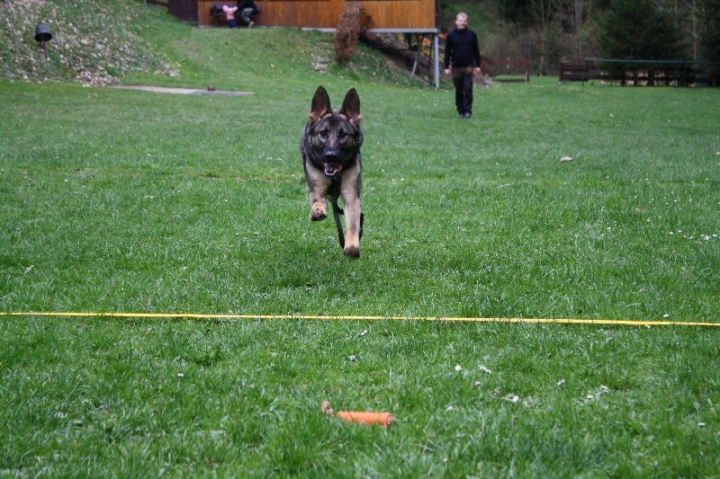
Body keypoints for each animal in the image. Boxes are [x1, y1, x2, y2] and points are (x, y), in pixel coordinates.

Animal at [300, 86, 362, 258]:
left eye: (342, 134)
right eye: (323, 133)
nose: (331, 155)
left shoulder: (351, 195)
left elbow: (353, 224)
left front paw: (352, 245)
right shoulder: (316, 188)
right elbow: (317, 199)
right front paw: (317, 211)